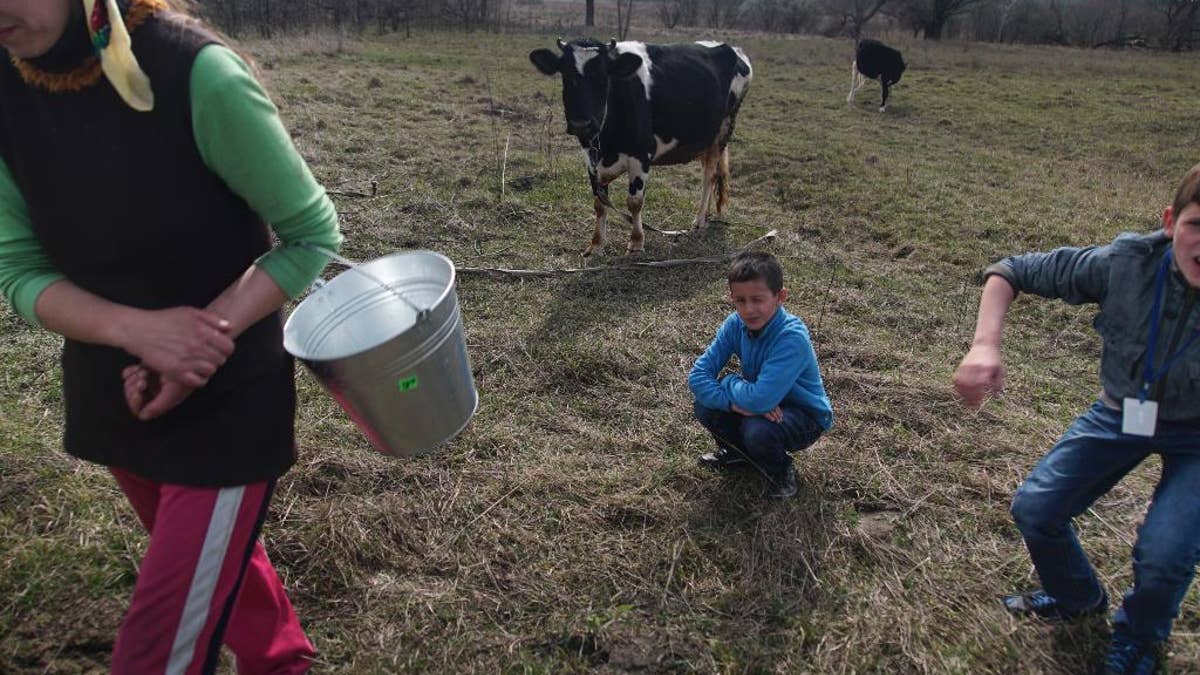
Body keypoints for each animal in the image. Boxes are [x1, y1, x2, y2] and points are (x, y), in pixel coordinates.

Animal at [532, 38, 748, 255]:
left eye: (603, 77)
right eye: (566, 75)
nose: (581, 124)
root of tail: (730, 48)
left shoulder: (641, 155)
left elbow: (634, 202)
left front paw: (636, 242)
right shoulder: (590, 158)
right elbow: (599, 203)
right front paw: (596, 244)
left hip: (724, 129)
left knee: (709, 178)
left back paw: (699, 220)